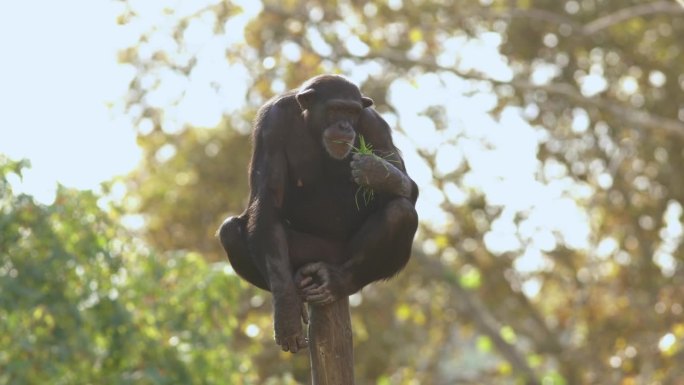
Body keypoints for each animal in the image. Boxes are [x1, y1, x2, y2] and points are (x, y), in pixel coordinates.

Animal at [219, 73, 420, 352]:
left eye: (352, 111)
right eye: (335, 109)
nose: (345, 125)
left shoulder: (374, 124)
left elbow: (408, 187)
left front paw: (379, 172)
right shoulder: (271, 124)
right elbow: (267, 202)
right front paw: (286, 313)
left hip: (345, 256)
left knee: (401, 212)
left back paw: (338, 281)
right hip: (308, 254)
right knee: (229, 231)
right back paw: (297, 291)